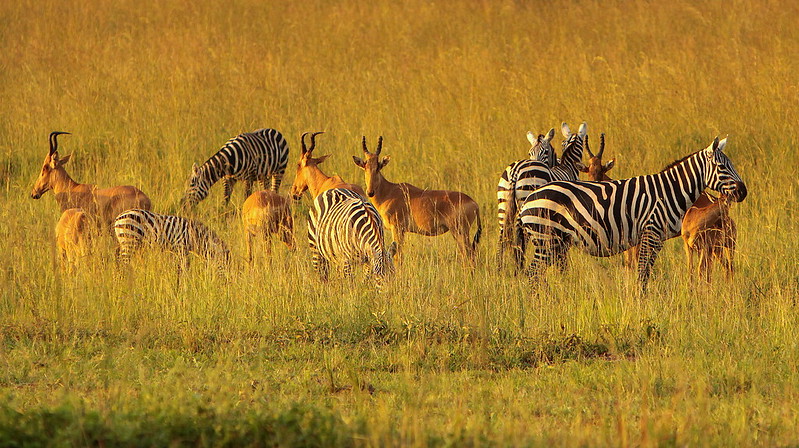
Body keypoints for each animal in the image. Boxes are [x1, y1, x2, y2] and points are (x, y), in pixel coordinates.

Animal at [352, 135, 482, 264]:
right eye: (365, 166)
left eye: (378, 167)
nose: (370, 192)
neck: (389, 191)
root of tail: (474, 204)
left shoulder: (397, 229)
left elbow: (397, 256)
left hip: (459, 231)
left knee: (469, 254)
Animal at [494, 121, 588, 272]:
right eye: (530, 152)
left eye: (545, 152)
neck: (566, 166)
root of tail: (515, 170)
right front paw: (562, 268)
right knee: (521, 236)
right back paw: (519, 268)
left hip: (503, 203)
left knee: (502, 236)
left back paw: (499, 270)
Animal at [520, 136, 752, 290]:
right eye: (722, 167)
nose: (743, 192)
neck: (668, 192)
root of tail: (530, 198)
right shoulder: (650, 233)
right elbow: (642, 274)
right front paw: (642, 304)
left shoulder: (654, 239)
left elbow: (644, 272)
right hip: (546, 239)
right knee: (532, 275)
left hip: (555, 242)